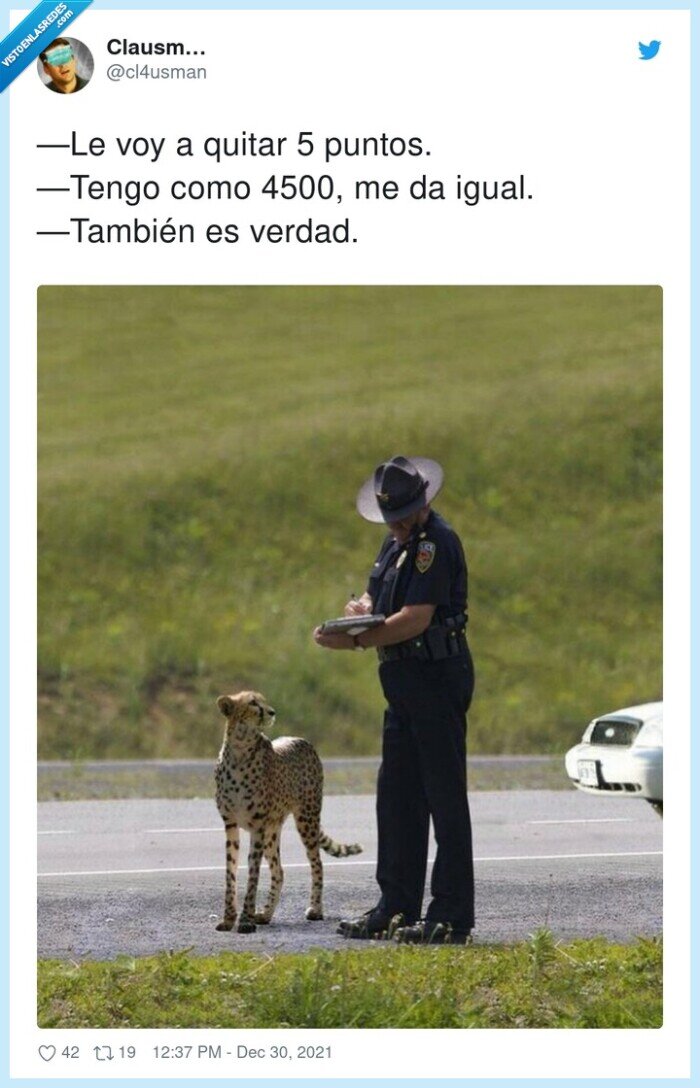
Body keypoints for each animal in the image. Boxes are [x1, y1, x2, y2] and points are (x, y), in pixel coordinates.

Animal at [214, 690, 362, 933]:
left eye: (263, 700)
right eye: (253, 703)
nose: (272, 712)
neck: (240, 749)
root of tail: (301, 739)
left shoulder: (257, 826)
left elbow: (252, 875)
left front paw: (245, 920)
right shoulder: (231, 824)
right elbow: (231, 872)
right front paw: (229, 919)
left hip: (306, 818)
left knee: (317, 863)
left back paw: (315, 909)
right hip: (272, 831)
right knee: (279, 871)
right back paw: (265, 914)